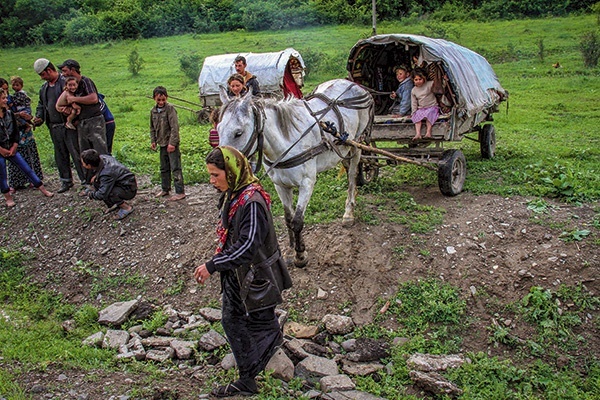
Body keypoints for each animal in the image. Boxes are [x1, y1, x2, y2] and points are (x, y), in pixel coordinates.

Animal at [218, 78, 372, 268]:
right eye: (218, 129)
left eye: (238, 133)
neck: (287, 142)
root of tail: (352, 83)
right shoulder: (280, 185)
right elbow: (288, 219)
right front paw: (292, 249)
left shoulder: (307, 183)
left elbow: (297, 221)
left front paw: (300, 255)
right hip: (342, 149)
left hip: (356, 144)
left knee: (352, 175)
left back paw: (349, 212)